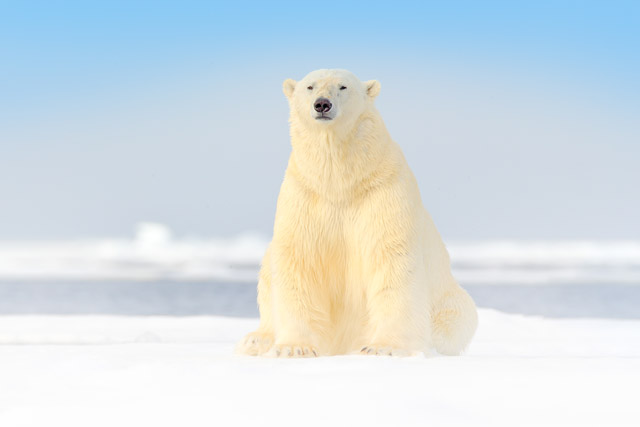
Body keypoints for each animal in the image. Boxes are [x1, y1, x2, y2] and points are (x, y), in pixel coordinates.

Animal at [237, 69, 477, 357]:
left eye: (343, 86)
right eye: (310, 86)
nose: (322, 104)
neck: (340, 182)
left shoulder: (382, 192)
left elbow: (392, 260)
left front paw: (383, 347)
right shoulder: (304, 195)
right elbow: (299, 258)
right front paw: (294, 347)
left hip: (447, 299)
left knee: (457, 318)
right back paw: (257, 340)